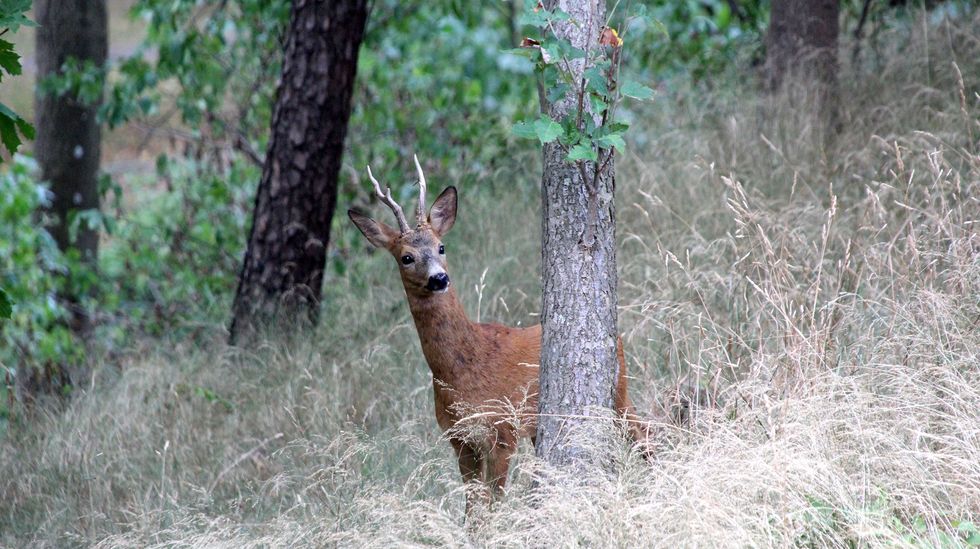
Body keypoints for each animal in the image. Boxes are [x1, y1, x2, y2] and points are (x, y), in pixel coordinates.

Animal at [348, 156, 648, 512]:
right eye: (406, 257)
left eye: (441, 246)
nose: (438, 278)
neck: (463, 371)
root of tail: (617, 335)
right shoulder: (460, 438)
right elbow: (473, 510)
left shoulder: (502, 430)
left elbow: (493, 506)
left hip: (617, 392)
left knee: (644, 434)